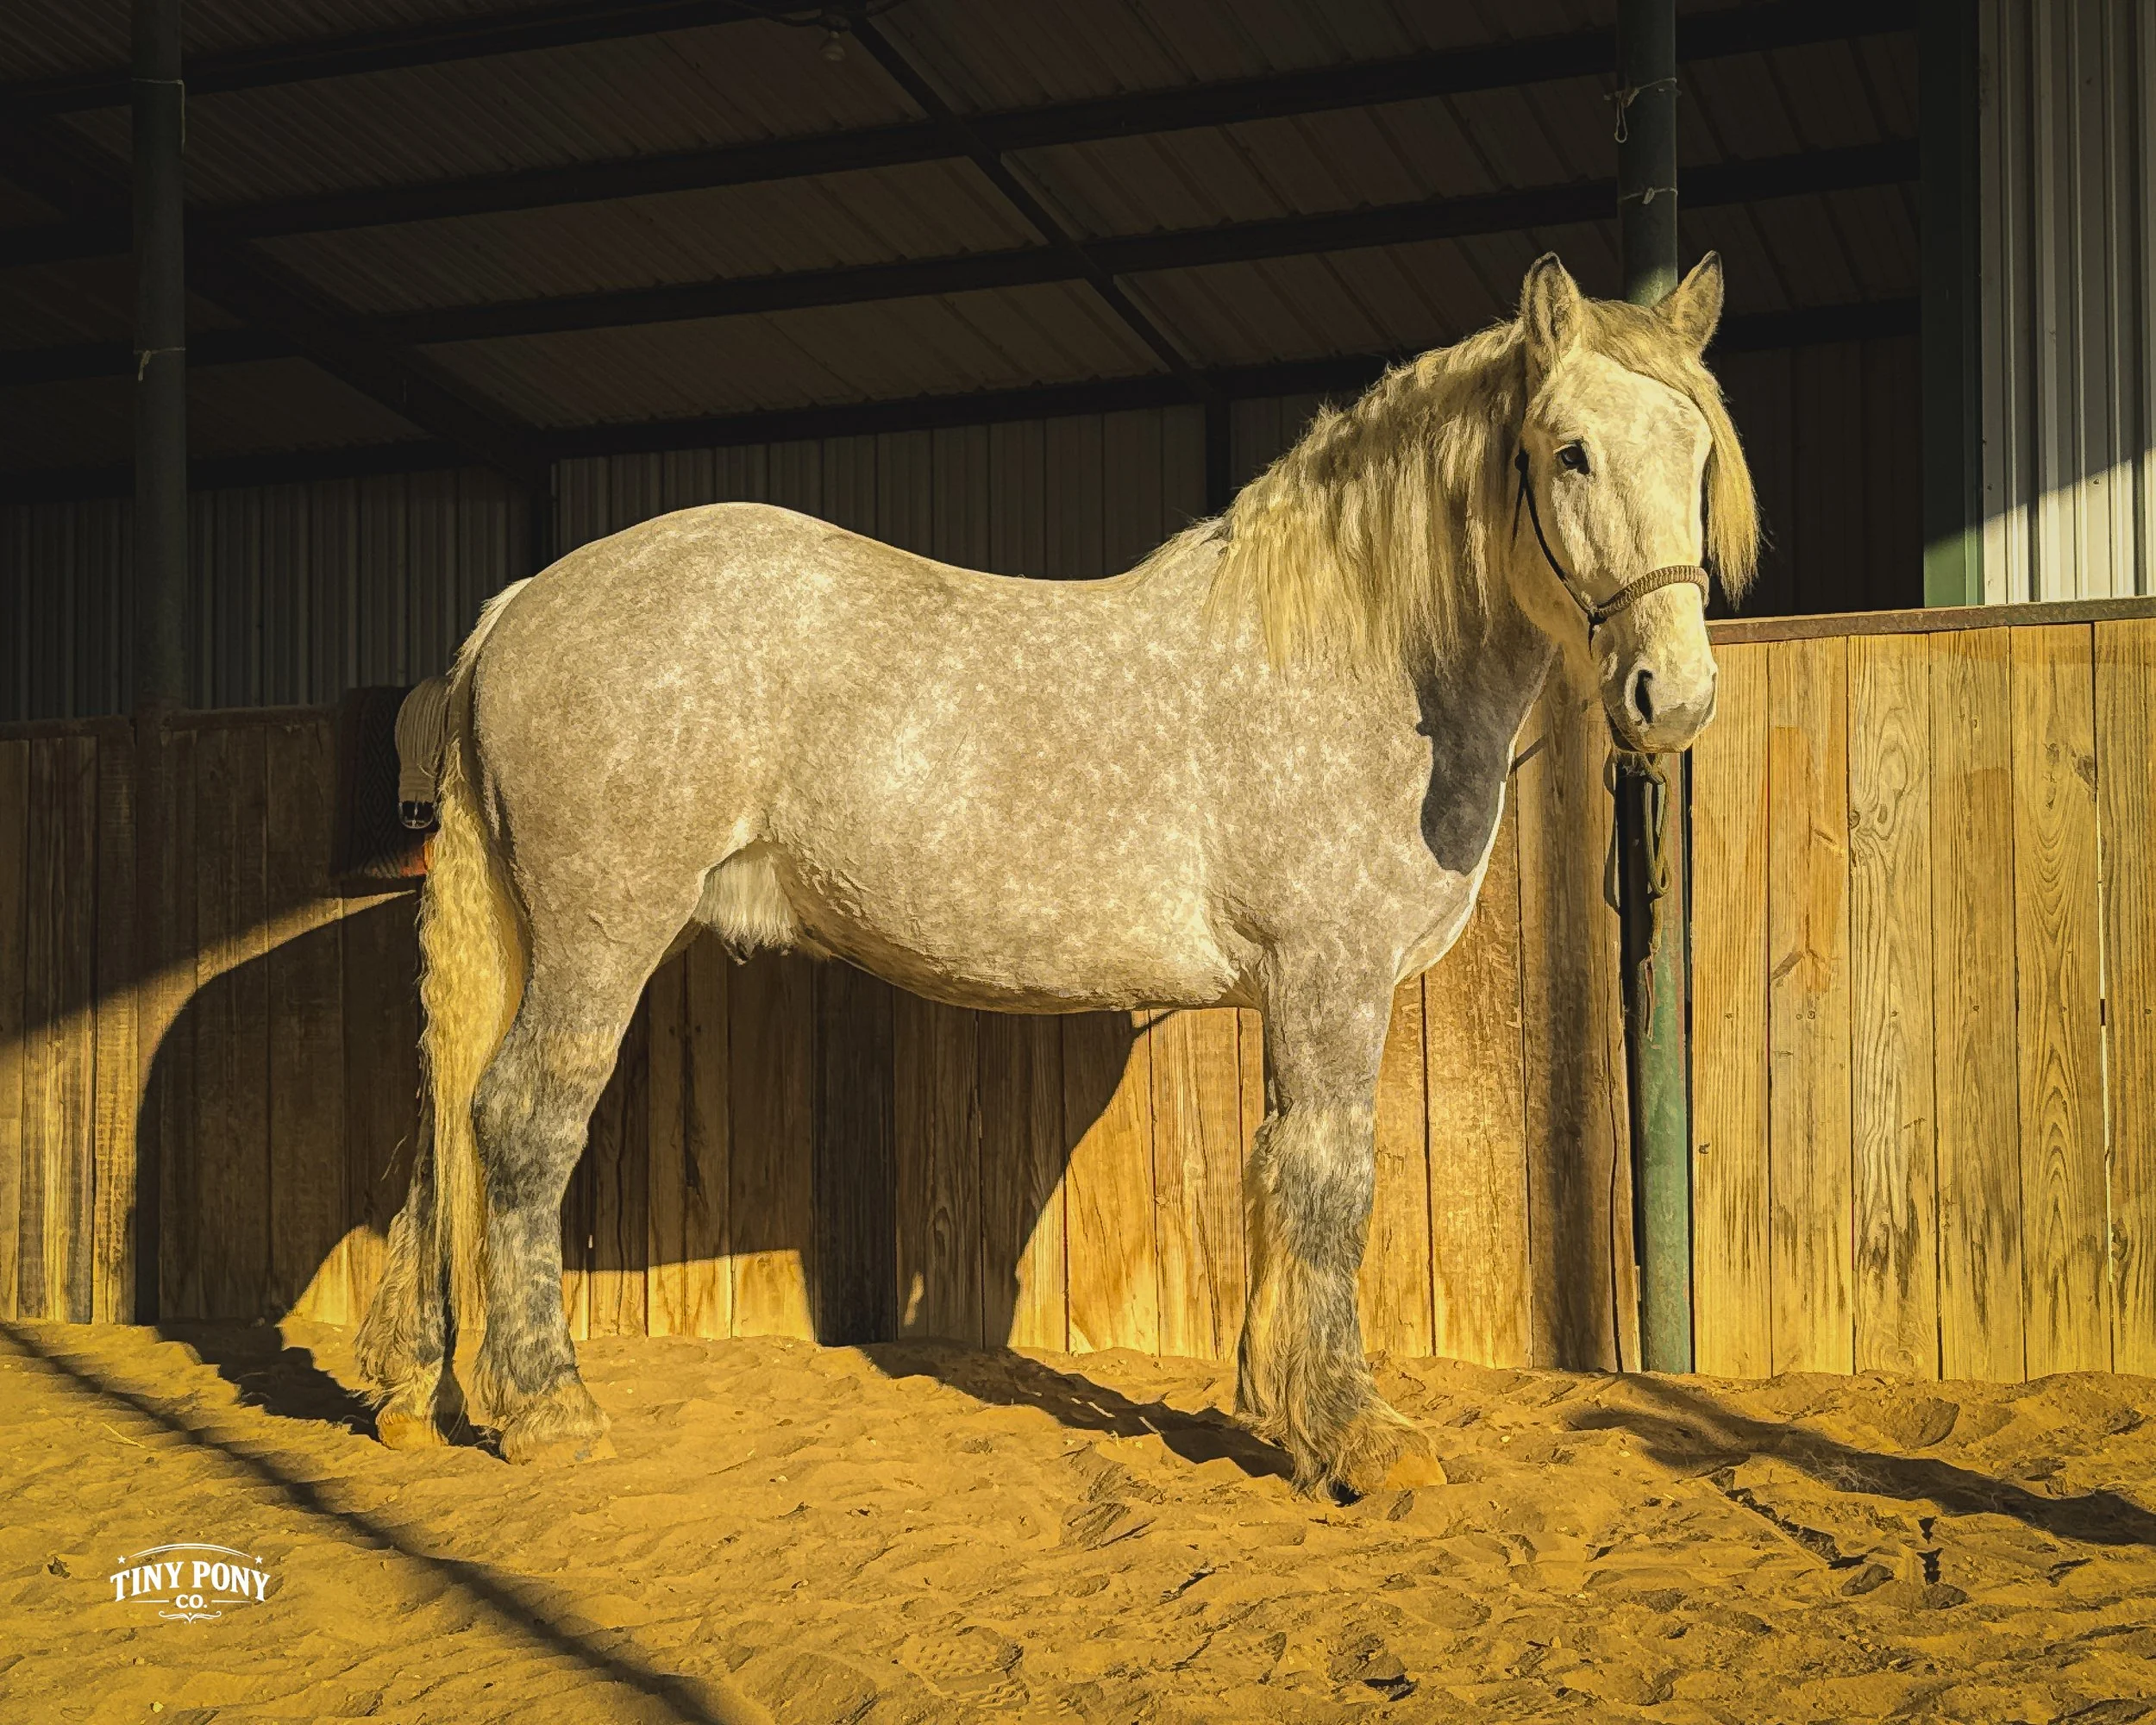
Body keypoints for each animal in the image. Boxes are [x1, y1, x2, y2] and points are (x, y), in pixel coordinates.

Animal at [354, 252, 1757, 1495]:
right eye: (1568, 450)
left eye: (1697, 452)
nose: (1674, 697)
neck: (1352, 660)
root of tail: (521, 605)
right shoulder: (1334, 980)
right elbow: (1329, 1183)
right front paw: (1358, 1437)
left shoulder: (1299, 996)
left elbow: (1276, 1173)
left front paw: (1276, 1408)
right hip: (602, 934)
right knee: (520, 1123)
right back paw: (550, 1408)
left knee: (447, 1118)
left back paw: (421, 1392)